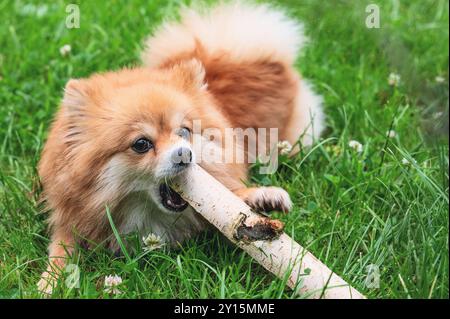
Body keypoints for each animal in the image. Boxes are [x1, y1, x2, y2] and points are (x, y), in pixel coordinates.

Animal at [36, 1, 324, 296]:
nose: (185, 153)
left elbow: (231, 199)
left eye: (184, 132)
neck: (141, 213)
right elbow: (61, 251)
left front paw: (260, 196)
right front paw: (49, 283)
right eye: (141, 144)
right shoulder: (72, 221)